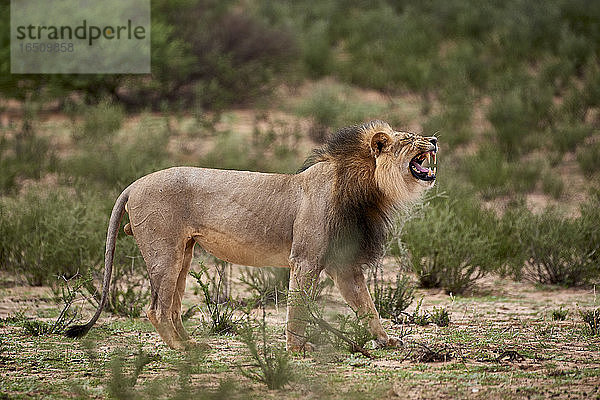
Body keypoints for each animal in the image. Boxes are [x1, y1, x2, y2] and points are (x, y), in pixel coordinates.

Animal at [65, 120, 438, 352]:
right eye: (409, 138)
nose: (434, 140)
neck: (368, 188)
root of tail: (132, 184)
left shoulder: (343, 266)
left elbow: (367, 307)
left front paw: (387, 342)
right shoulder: (305, 259)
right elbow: (298, 307)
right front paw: (297, 348)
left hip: (183, 253)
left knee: (172, 305)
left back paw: (191, 343)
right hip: (164, 253)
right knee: (156, 308)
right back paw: (179, 348)